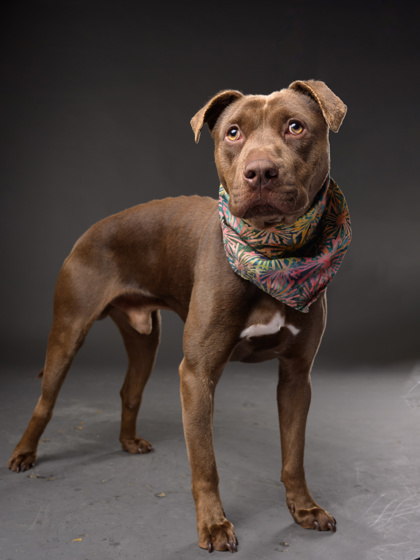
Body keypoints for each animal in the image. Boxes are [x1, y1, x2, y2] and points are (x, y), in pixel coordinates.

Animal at [8, 80, 350, 553]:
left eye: (295, 126)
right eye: (233, 133)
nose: (261, 171)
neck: (270, 252)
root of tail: (90, 230)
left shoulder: (297, 377)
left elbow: (293, 455)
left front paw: (304, 509)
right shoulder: (197, 373)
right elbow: (205, 463)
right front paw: (214, 526)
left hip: (144, 341)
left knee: (129, 390)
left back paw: (128, 441)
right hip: (67, 332)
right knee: (45, 402)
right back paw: (24, 454)